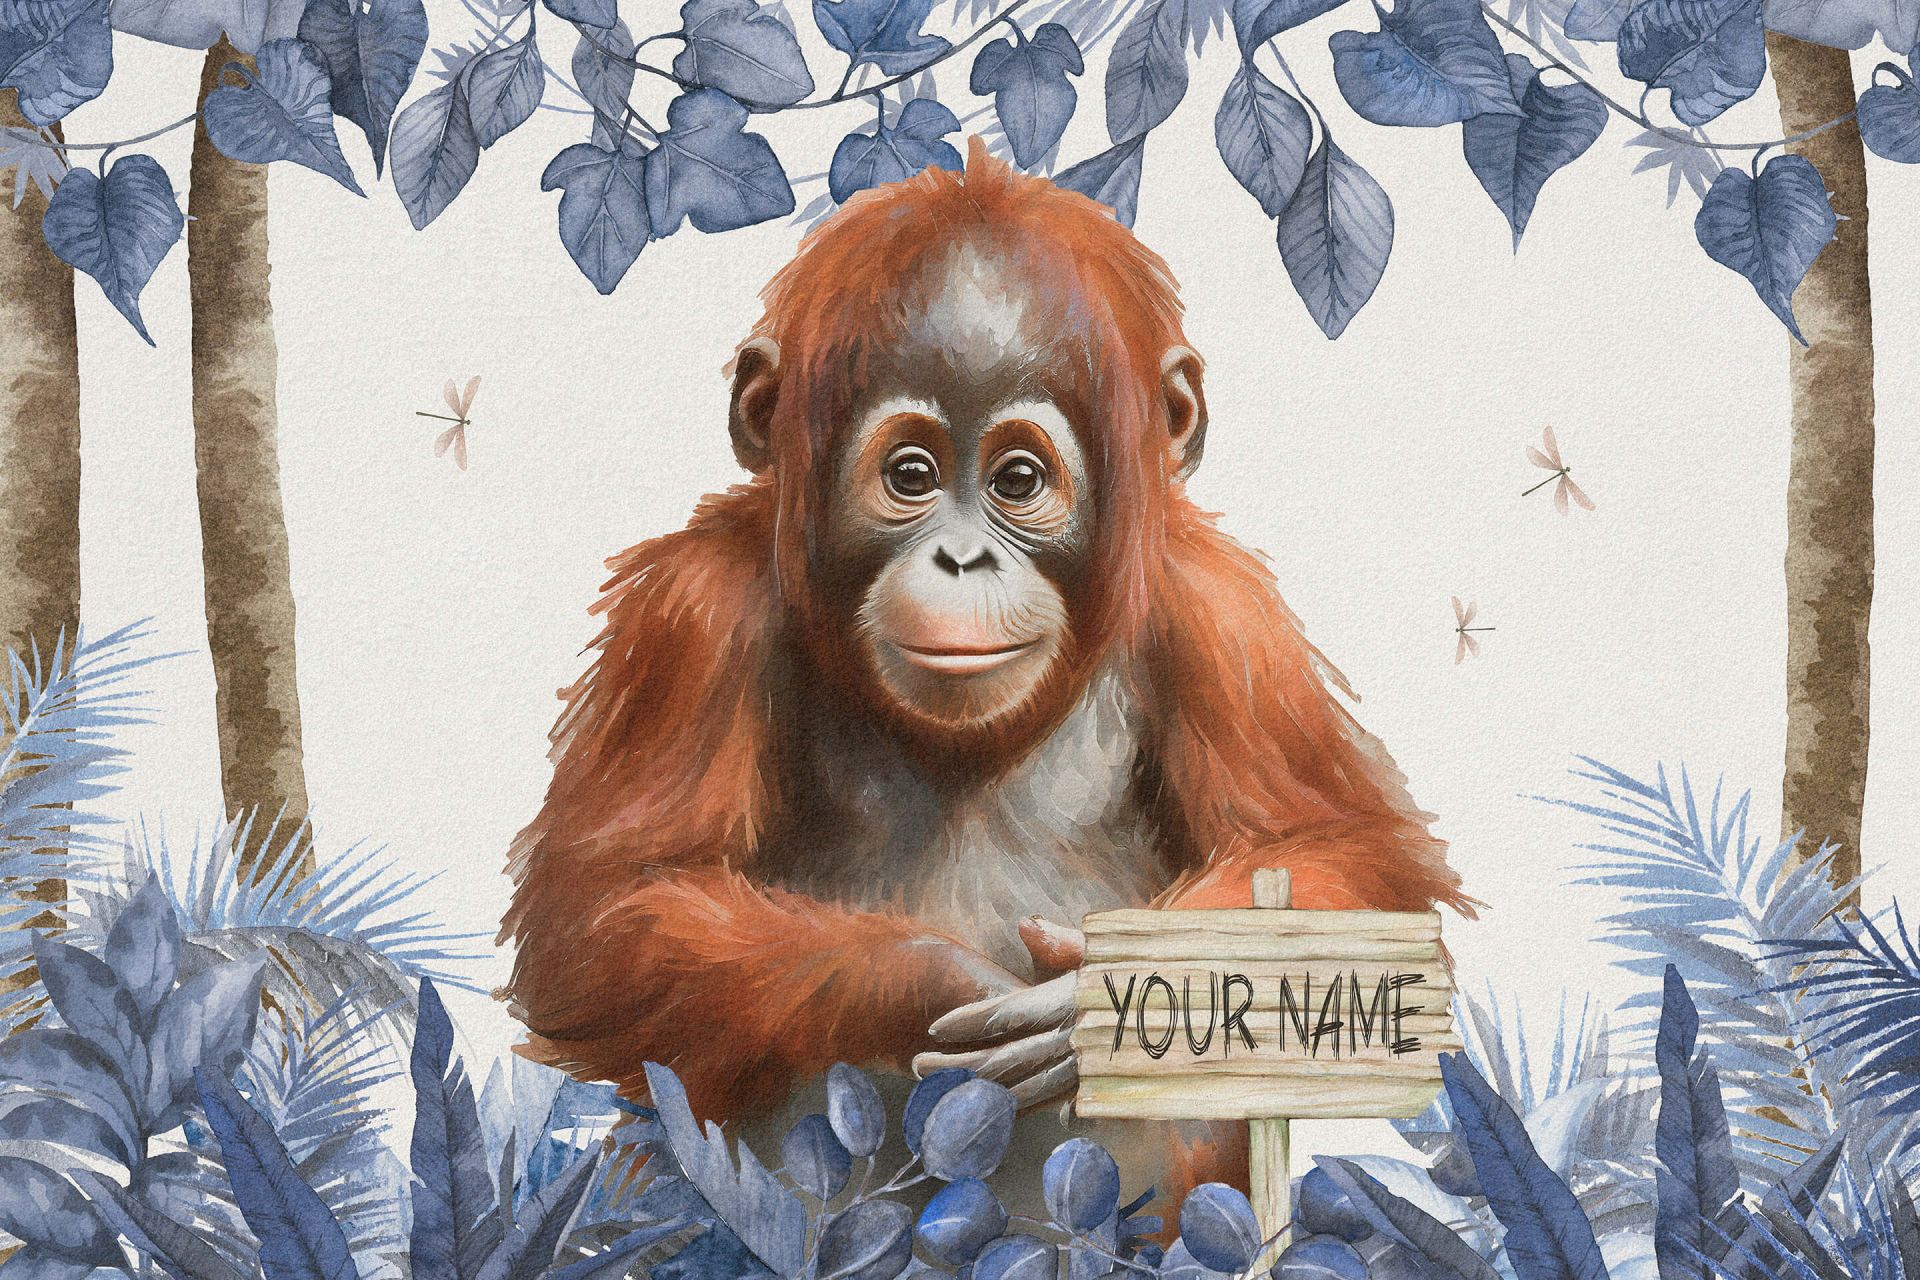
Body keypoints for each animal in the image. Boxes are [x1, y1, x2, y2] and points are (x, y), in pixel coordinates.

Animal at [499, 138, 1471, 1206]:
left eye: (1017, 481)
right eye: (911, 476)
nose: (962, 558)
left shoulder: (1226, 619)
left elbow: (1344, 858)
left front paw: (1091, 993)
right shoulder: (689, 615)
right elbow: (608, 912)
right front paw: (937, 979)